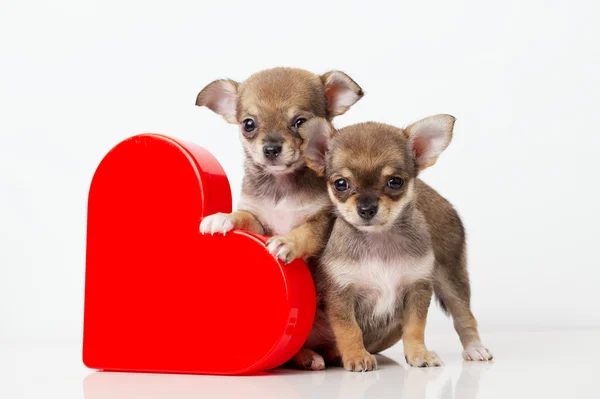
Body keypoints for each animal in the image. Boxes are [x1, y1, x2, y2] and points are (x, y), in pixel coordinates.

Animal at [196, 67, 360, 247]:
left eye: (300, 122)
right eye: (248, 124)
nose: (271, 149)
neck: (280, 182)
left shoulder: (321, 222)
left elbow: (306, 233)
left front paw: (287, 242)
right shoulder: (260, 224)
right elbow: (244, 215)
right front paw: (224, 217)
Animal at [288, 115, 494, 372]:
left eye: (395, 182)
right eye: (341, 184)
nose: (366, 208)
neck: (379, 239)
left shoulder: (417, 287)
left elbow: (415, 327)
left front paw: (419, 354)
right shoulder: (341, 293)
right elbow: (349, 329)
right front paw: (357, 356)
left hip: (451, 275)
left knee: (463, 314)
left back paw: (474, 348)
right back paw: (310, 357)